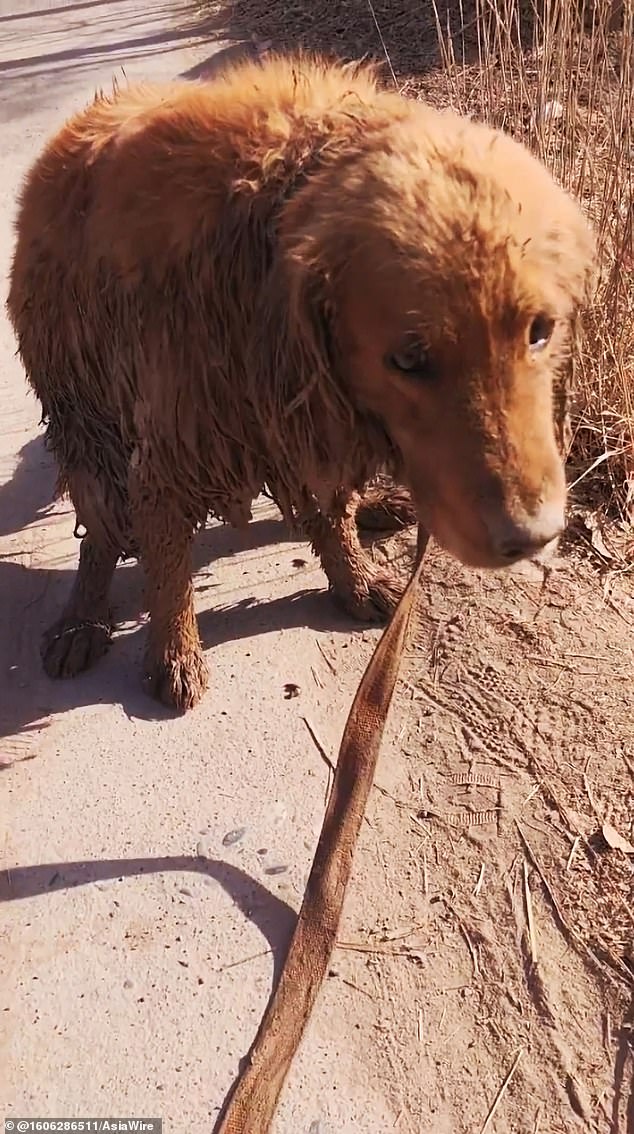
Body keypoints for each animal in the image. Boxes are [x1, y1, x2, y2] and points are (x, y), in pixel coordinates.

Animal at [6, 55, 594, 707]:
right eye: (408, 359)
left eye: (540, 331)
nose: (533, 537)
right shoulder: (179, 443)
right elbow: (167, 564)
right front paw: (173, 651)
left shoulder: (305, 418)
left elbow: (330, 511)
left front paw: (354, 578)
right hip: (86, 417)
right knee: (102, 527)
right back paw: (81, 620)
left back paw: (378, 505)